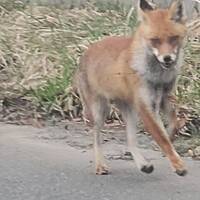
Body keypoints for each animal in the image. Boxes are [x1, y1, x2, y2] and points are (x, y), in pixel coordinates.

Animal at [73, 0, 188, 175]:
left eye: (173, 38)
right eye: (155, 40)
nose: (167, 58)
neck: (158, 76)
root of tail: (86, 51)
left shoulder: (164, 98)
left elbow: (172, 125)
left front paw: (170, 137)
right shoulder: (145, 105)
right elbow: (161, 138)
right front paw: (178, 165)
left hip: (130, 111)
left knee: (130, 140)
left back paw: (143, 165)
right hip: (100, 111)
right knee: (96, 138)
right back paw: (100, 165)